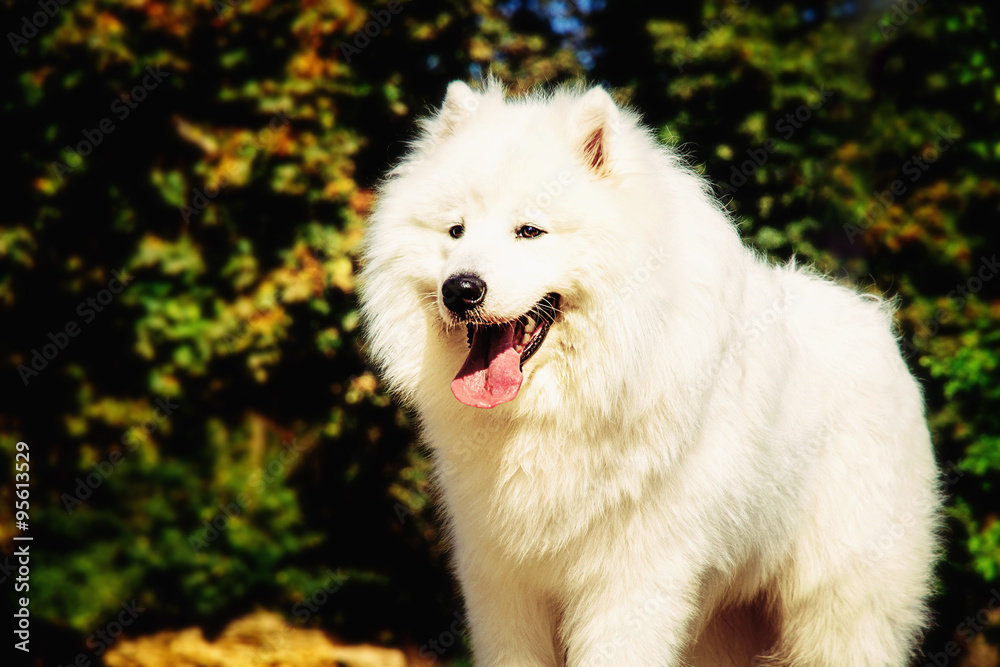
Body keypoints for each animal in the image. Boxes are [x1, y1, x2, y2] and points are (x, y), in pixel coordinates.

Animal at [360, 81, 944, 664]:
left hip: (839, 611)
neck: (558, 412)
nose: (460, 289)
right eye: (455, 230)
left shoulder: (631, 583)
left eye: (530, 231)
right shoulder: (504, 588)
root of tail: (876, 320)